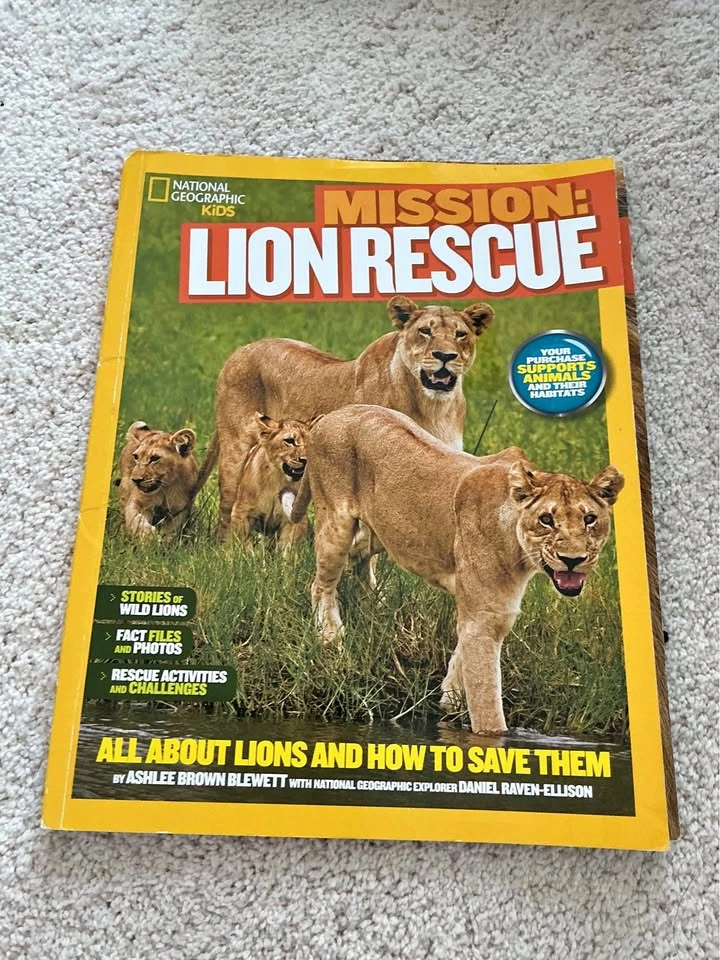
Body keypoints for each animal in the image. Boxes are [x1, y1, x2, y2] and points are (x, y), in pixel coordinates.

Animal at [228, 412, 311, 549]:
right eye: (289, 441)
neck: (277, 480)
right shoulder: (242, 511)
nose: (305, 460)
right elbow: (243, 543)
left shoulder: (295, 517)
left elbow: (288, 546)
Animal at [290, 404, 624, 734]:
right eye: (546, 520)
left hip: (383, 532)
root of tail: (333, 413)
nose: (573, 559)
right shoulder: (485, 616)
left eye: (590, 519)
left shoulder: (491, 609)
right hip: (336, 522)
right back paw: (331, 636)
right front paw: (491, 734)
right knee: (320, 583)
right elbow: (486, 699)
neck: (521, 554)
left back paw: (374, 606)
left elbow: (463, 657)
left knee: (358, 558)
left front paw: (449, 697)